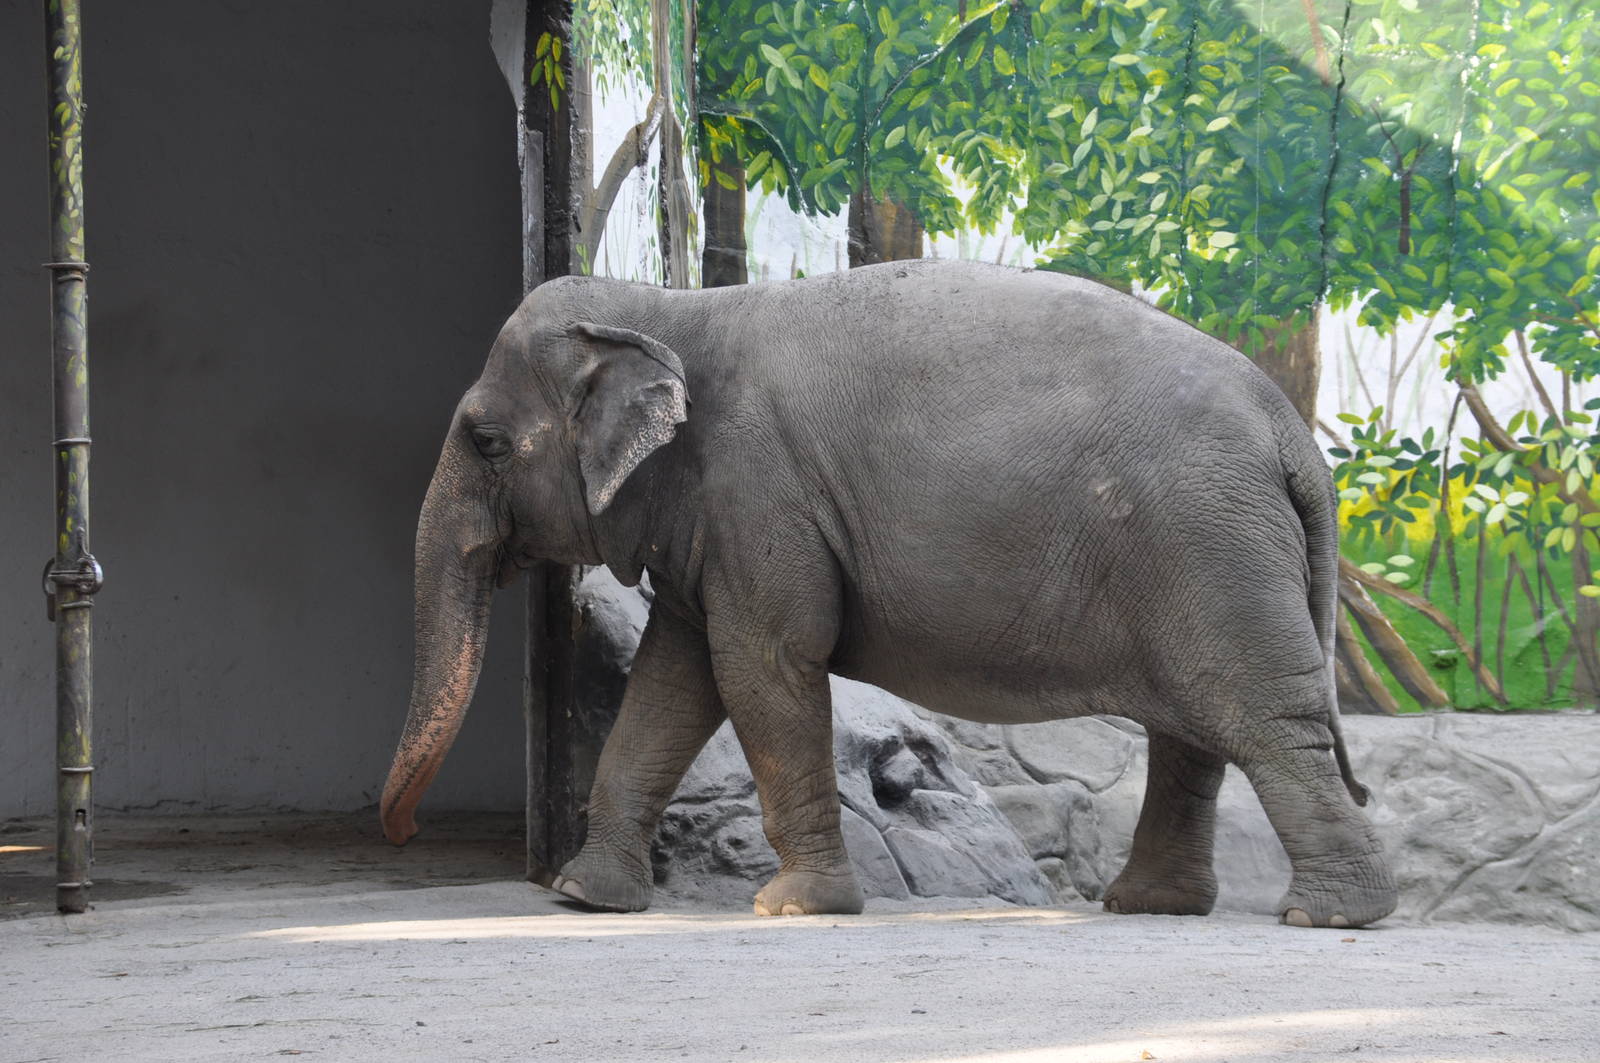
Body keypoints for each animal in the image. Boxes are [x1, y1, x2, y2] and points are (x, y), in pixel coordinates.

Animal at [380, 259, 1398, 929]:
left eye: (487, 442)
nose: (403, 833)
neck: (669, 306)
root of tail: (1292, 433)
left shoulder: (761, 490)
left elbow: (762, 668)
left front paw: (793, 906)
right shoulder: (714, 517)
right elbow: (675, 680)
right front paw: (584, 896)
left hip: (1209, 545)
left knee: (1259, 720)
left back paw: (1330, 916)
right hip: (1197, 554)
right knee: (1194, 731)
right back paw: (1152, 907)